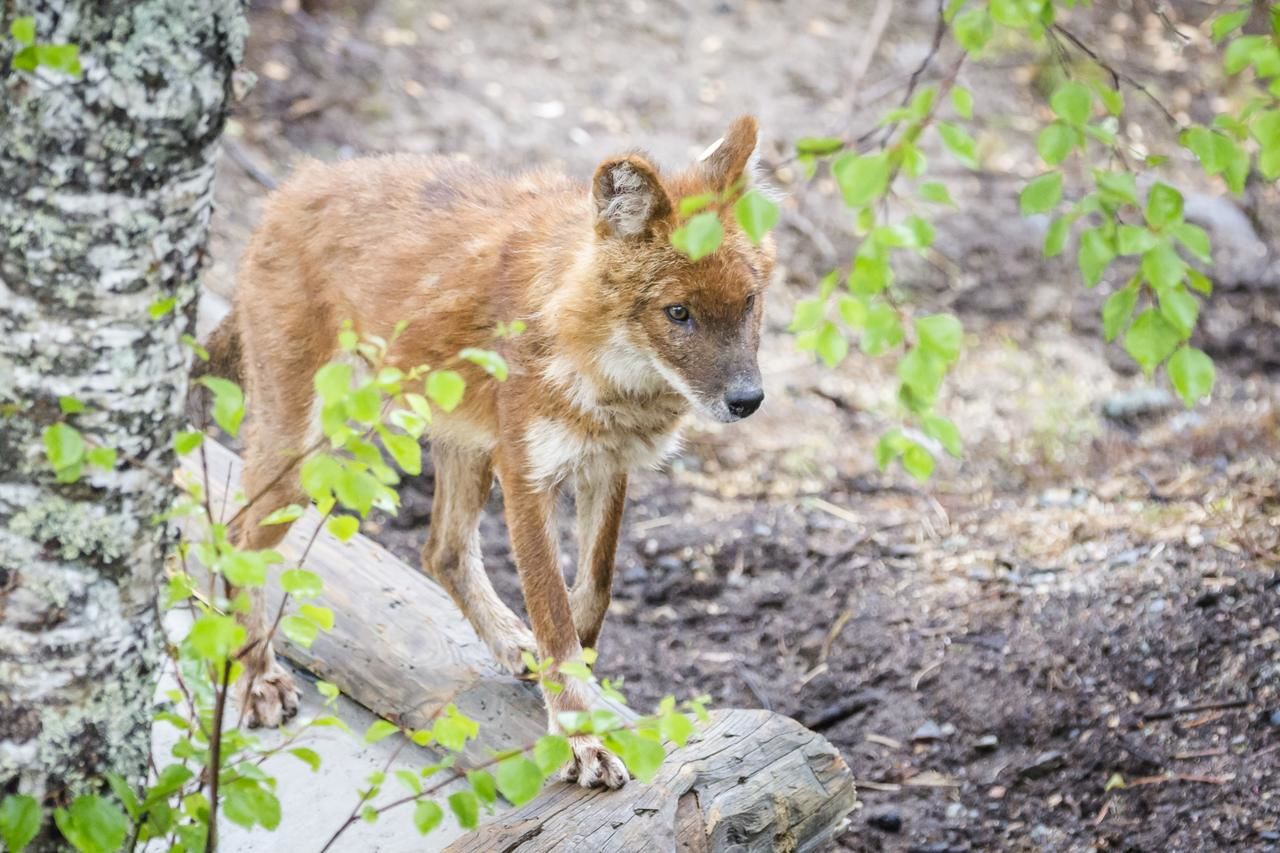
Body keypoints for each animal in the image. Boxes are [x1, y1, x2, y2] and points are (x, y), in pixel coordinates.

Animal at [204, 116, 773, 788]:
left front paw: (576, 682)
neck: (613, 381)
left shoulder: (605, 467)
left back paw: (507, 642)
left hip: (460, 438)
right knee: (237, 533)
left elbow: (593, 591)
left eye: (748, 302)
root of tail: (291, 187)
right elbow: (552, 609)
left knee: (441, 549)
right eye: (677, 312)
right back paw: (255, 677)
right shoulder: (526, 473)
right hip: (313, 447)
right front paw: (580, 738)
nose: (748, 401)